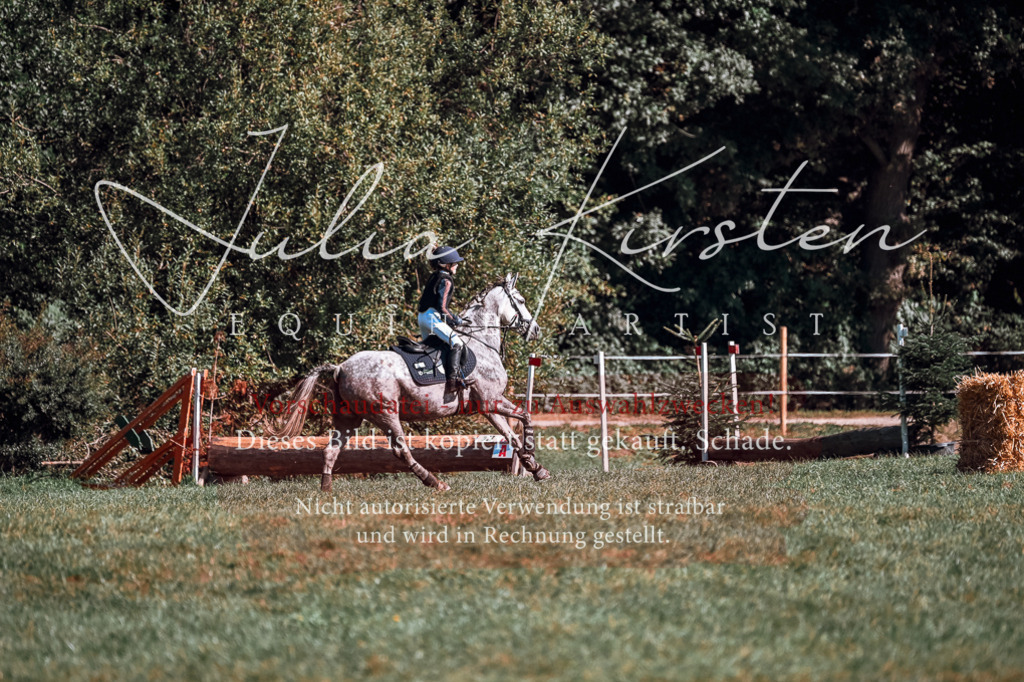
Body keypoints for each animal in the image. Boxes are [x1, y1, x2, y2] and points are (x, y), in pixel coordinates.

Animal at [275, 273, 550, 492]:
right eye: (521, 301)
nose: (536, 330)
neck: (481, 342)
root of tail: (340, 367)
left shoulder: (487, 406)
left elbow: (510, 435)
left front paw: (535, 468)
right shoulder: (492, 400)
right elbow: (525, 416)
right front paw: (532, 453)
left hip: (348, 418)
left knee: (331, 450)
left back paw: (326, 490)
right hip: (386, 414)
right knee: (401, 450)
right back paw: (435, 482)